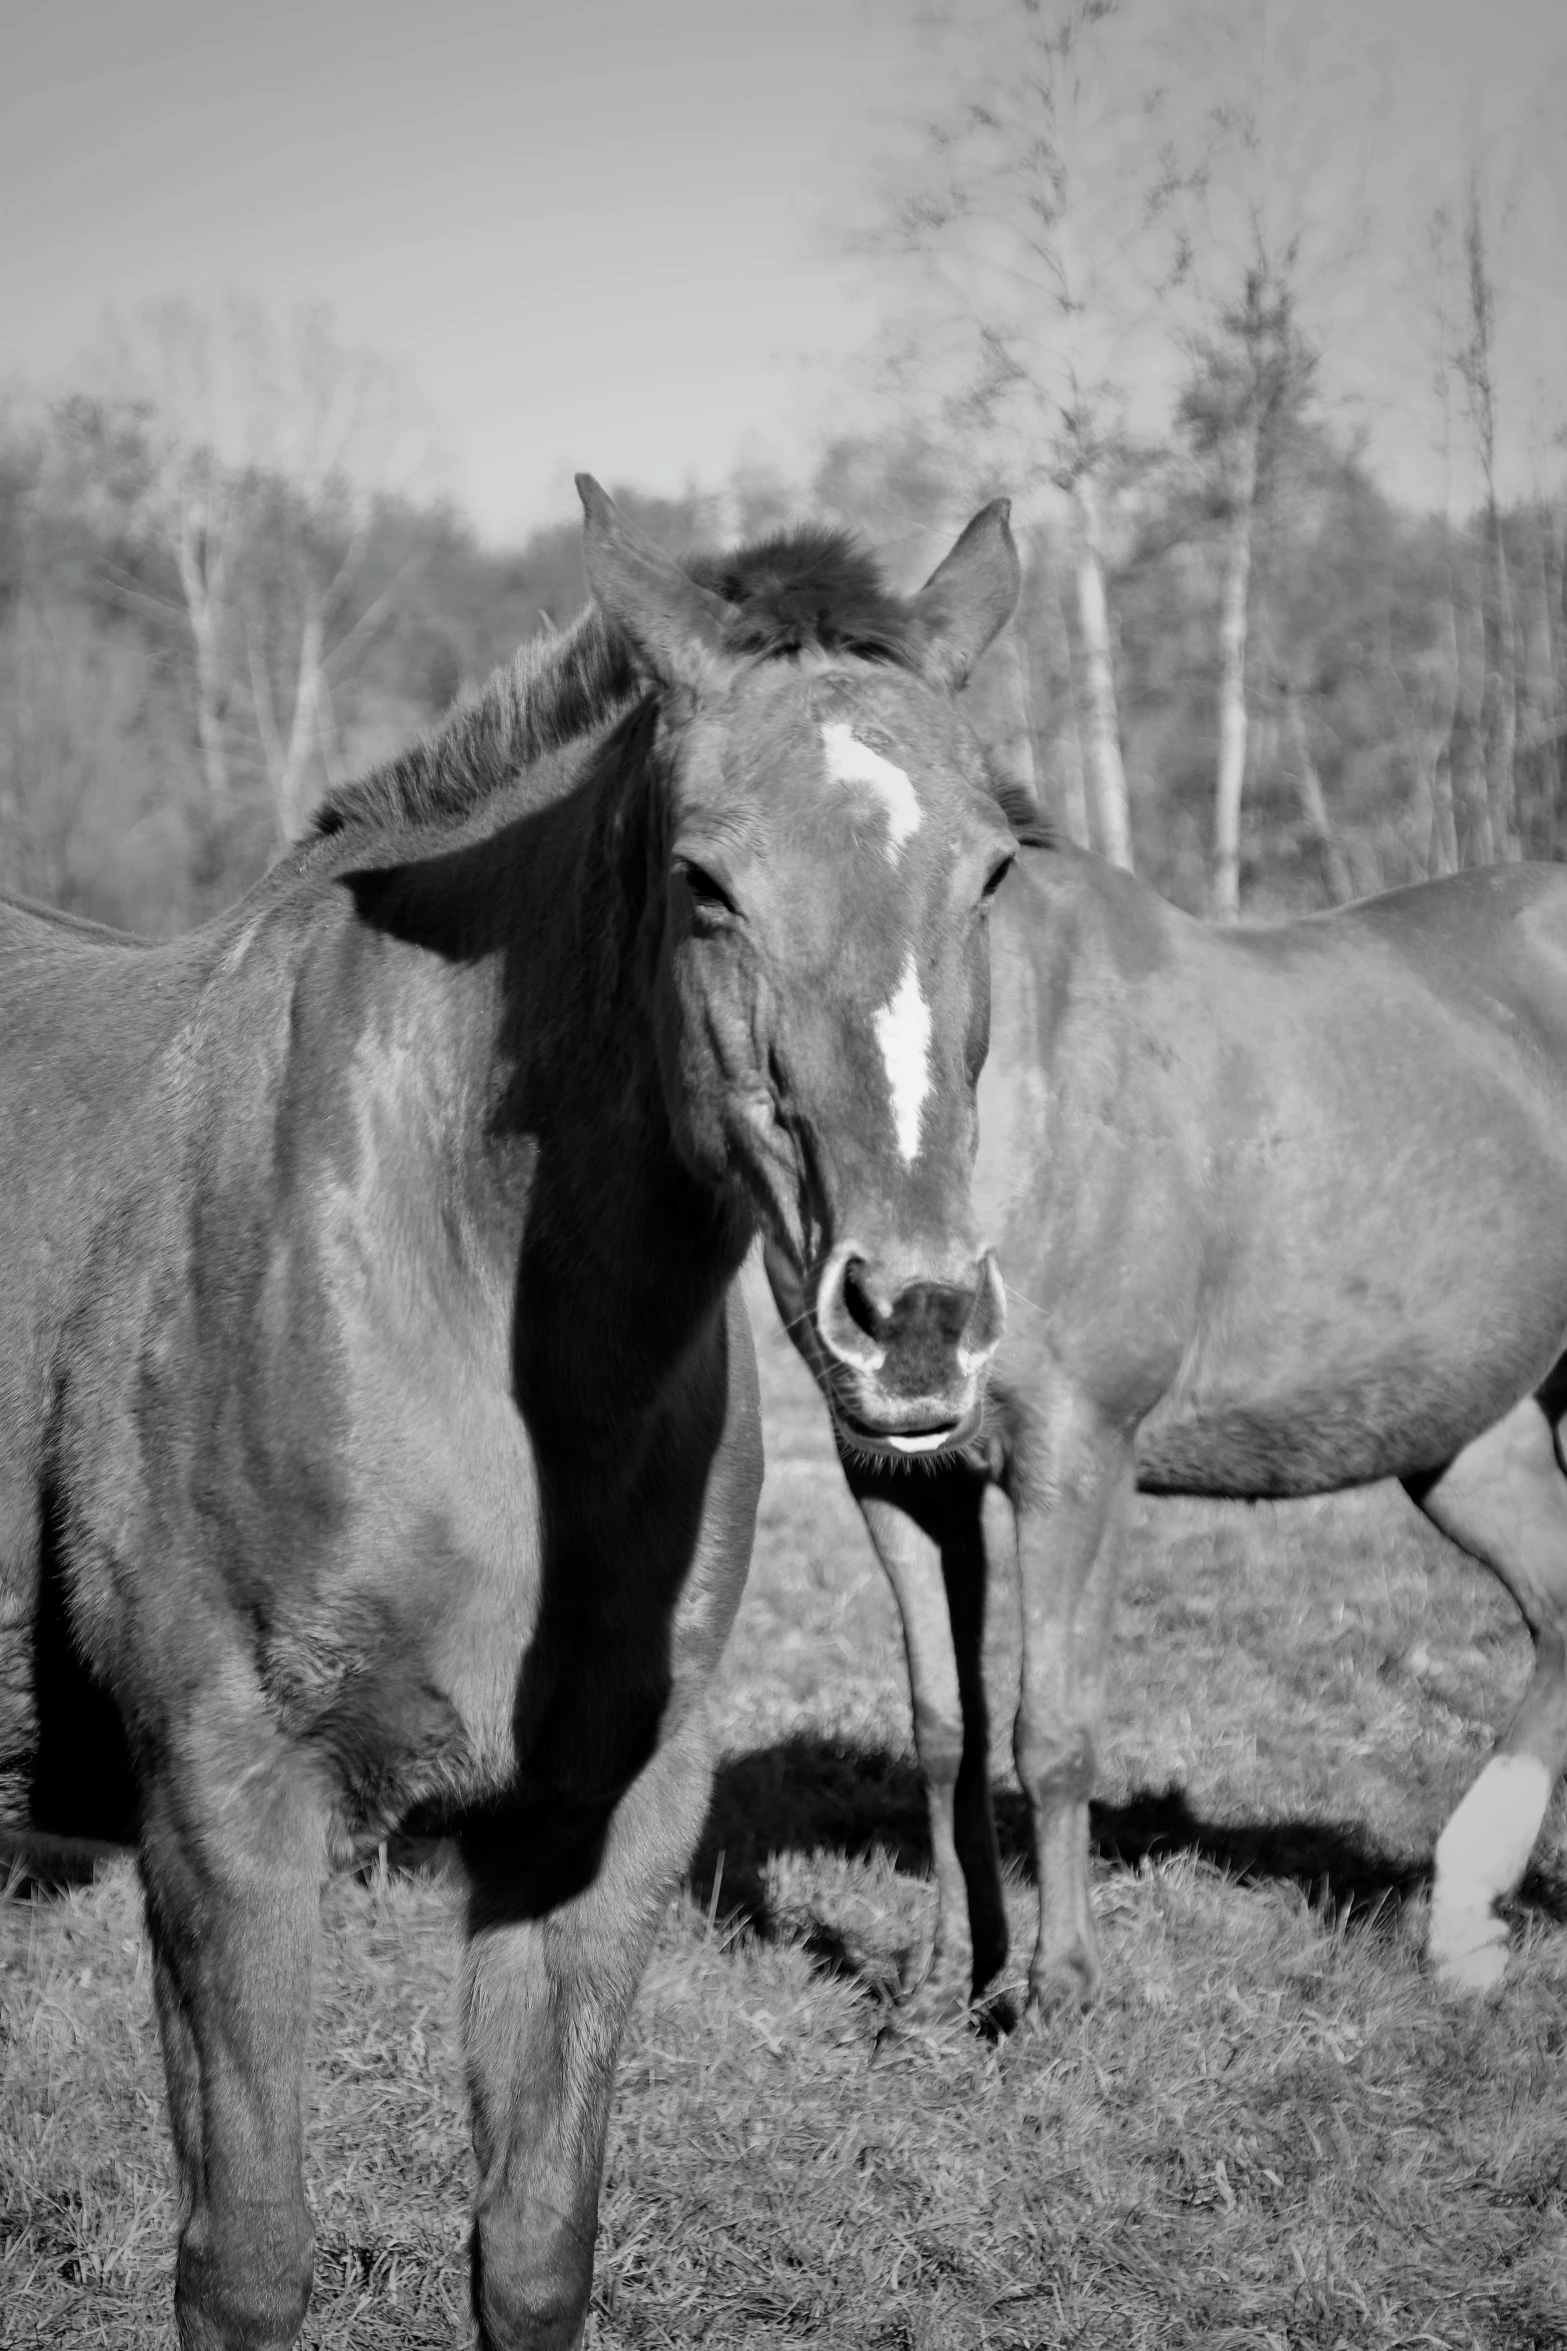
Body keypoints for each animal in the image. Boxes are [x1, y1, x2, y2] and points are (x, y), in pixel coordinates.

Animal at [0, 481, 1024, 2351]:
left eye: (991, 867)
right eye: (703, 882)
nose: (912, 1316)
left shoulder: (592, 1827)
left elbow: (535, 2249)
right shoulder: (227, 1819)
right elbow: (246, 2263)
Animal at [770, 827, 1567, 2021]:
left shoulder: (1076, 1459)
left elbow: (1049, 1728)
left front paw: (1056, 1991)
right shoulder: (903, 1476)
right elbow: (945, 1725)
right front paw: (947, 1977)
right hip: (1469, 1440)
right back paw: (1463, 1927)